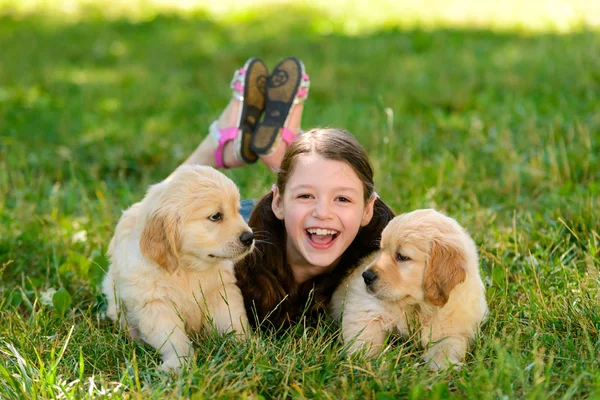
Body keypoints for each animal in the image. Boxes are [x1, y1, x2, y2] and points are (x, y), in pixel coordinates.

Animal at [103, 163, 253, 372]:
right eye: (216, 216)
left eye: (238, 210)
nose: (250, 237)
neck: (186, 267)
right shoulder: (156, 304)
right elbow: (173, 338)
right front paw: (179, 364)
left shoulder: (220, 291)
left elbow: (233, 320)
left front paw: (248, 347)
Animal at [330, 209, 490, 368]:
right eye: (381, 250)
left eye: (402, 256)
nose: (366, 276)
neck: (419, 306)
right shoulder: (367, 307)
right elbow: (365, 337)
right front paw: (368, 364)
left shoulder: (454, 327)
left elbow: (447, 346)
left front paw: (442, 366)